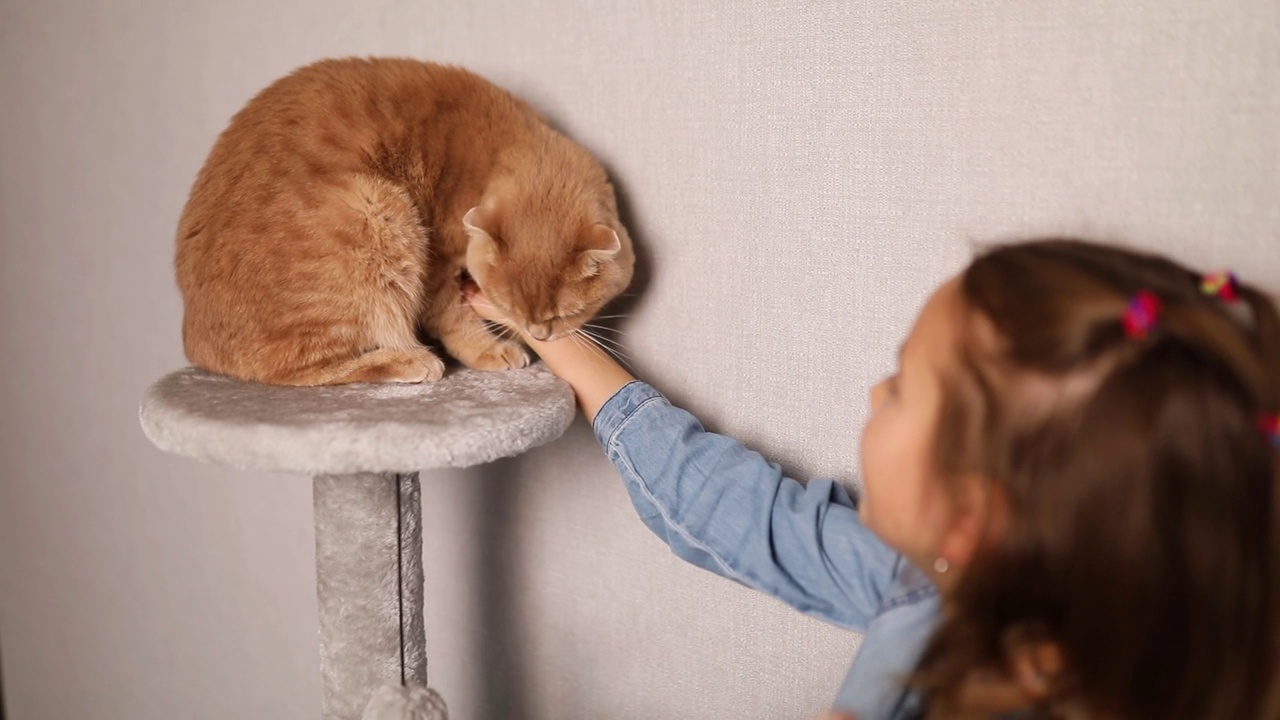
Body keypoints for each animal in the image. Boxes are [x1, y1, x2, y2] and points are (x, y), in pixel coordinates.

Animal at [175, 56, 634, 384]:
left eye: (564, 314)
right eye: (507, 306)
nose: (540, 335)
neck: (503, 147)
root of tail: (193, 337)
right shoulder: (437, 260)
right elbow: (452, 316)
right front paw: (489, 349)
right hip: (377, 210)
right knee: (295, 368)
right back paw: (409, 361)